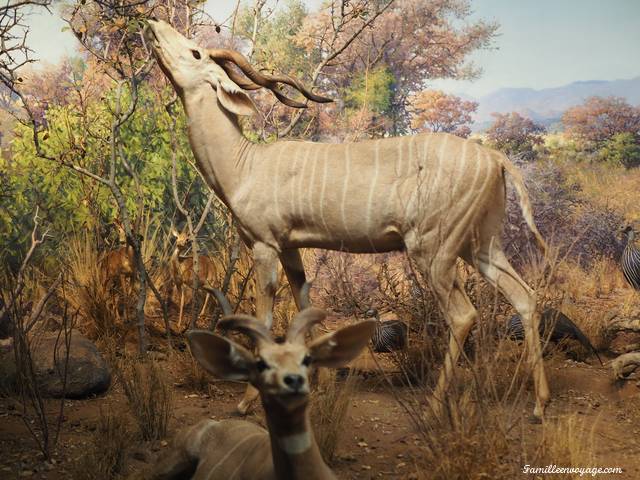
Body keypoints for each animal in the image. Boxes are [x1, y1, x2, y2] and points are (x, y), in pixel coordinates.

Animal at [146, 18, 552, 418]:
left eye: (195, 52)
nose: (152, 24)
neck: (243, 165)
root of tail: (494, 159)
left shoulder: (264, 245)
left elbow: (263, 319)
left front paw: (246, 402)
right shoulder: (290, 248)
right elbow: (304, 304)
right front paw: (320, 384)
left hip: (433, 250)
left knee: (464, 314)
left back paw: (435, 405)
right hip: (480, 245)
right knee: (525, 296)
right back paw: (539, 403)